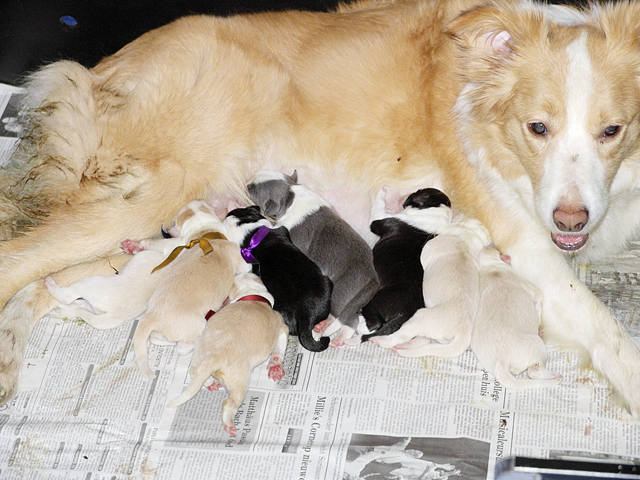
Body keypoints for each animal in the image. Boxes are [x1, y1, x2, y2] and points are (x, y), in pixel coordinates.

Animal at [167, 271, 288, 436]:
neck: (250, 294)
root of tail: (214, 357)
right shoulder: (281, 326)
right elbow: (280, 347)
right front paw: (275, 367)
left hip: (198, 358)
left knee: (193, 372)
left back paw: (210, 383)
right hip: (239, 382)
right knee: (228, 404)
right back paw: (229, 424)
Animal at [248, 170, 379, 344]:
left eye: (255, 189)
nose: (248, 183)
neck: (292, 195)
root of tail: (373, 279)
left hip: (341, 291)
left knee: (349, 319)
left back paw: (336, 336)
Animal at [361, 187, 450, 341]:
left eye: (418, 191)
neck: (439, 213)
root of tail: (407, 312)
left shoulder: (378, 220)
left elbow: (378, 206)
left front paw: (384, 191)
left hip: (377, 300)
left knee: (374, 323)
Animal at [471, 246, 562, 388]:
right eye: (499, 252)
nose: (491, 245)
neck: (491, 266)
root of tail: (501, 361)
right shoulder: (534, 291)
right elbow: (539, 302)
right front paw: (538, 322)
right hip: (537, 345)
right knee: (533, 372)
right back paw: (554, 376)